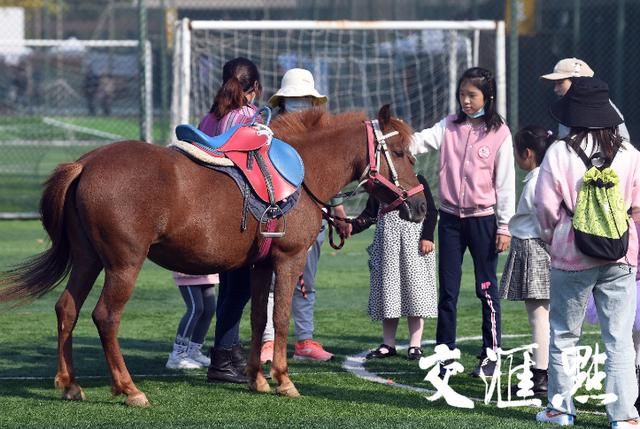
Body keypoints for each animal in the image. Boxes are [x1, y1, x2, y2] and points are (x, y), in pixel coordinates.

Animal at [1, 103, 430, 404]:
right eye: (401, 153)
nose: (421, 206)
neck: (303, 172)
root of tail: (84, 163)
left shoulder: (260, 264)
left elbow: (258, 319)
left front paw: (257, 379)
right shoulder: (288, 260)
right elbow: (282, 317)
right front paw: (284, 380)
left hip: (88, 260)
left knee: (67, 309)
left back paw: (70, 384)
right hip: (124, 263)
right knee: (105, 317)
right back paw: (129, 388)